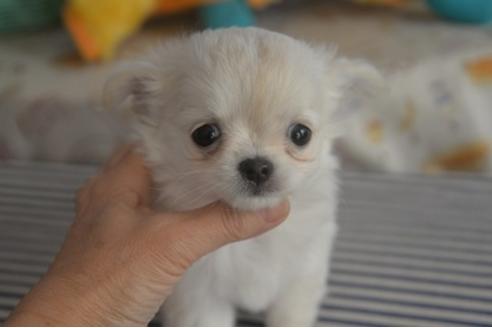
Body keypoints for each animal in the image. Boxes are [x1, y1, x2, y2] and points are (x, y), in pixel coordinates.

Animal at [104, 27, 380, 326]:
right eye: (205, 134)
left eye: (301, 134)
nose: (257, 167)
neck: (254, 241)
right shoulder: (199, 297)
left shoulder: (302, 276)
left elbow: (291, 315)